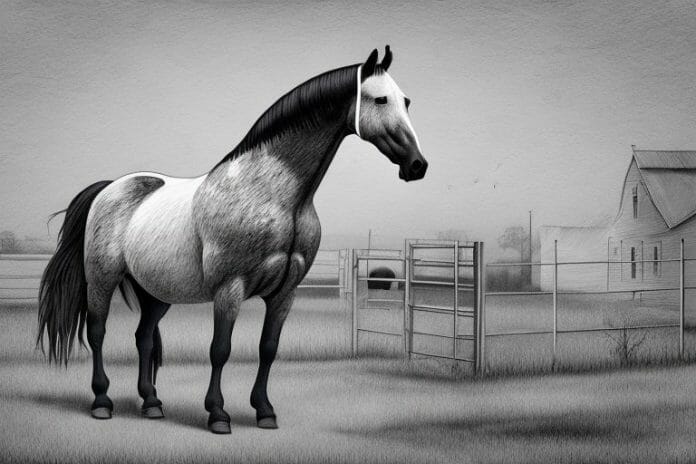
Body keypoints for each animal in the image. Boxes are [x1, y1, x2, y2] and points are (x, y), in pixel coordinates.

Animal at [37, 46, 428, 434]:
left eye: (406, 101)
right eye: (380, 99)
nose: (417, 166)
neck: (271, 195)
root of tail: (110, 188)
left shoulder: (284, 293)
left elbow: (268, 348)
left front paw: (265, 411)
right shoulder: (230, 288)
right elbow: (220, 349)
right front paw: (218, 414)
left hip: (156, 292)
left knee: (143, 338)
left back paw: (151, 404)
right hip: (101, 280)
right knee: (98, 332)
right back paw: (102, 402)